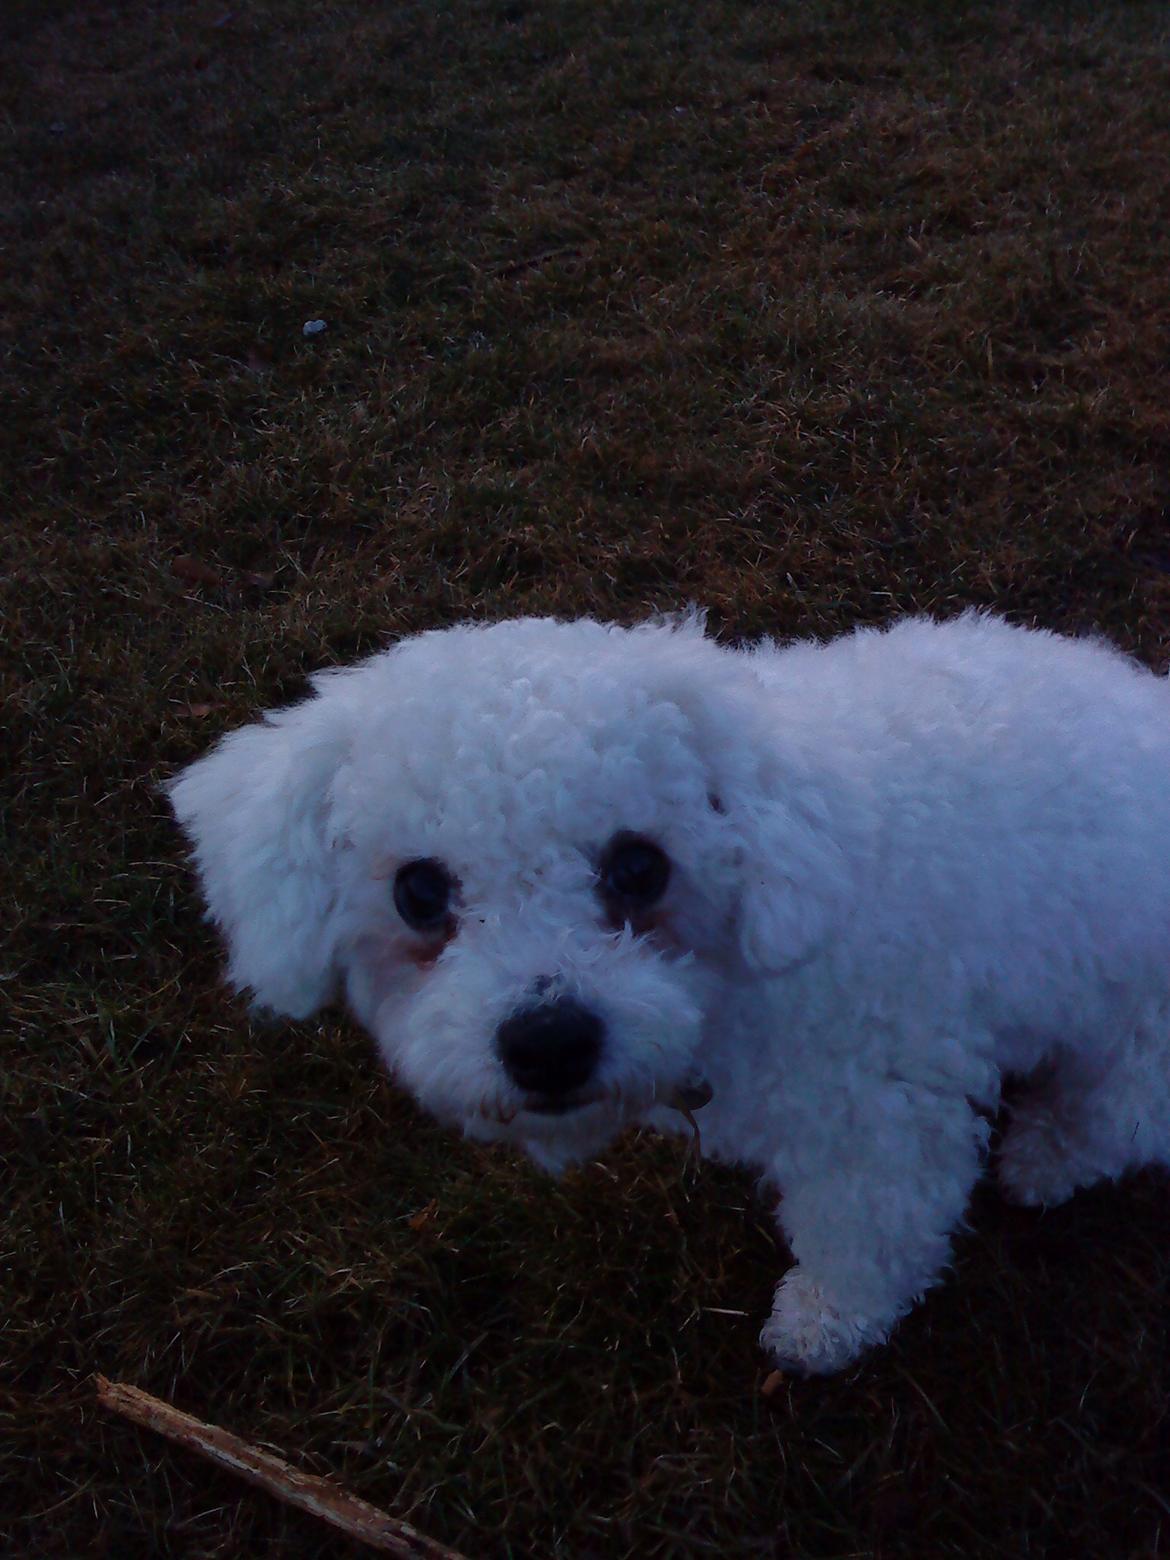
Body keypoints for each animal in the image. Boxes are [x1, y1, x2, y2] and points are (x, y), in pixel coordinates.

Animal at [169, 614, 1170, 1372]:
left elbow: (868, 1236)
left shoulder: (877, 1123)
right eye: (419, 892)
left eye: (639, 866)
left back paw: (1046, 1155)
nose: (549, 1043)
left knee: (1116, 1114)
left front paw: (821, 1325)